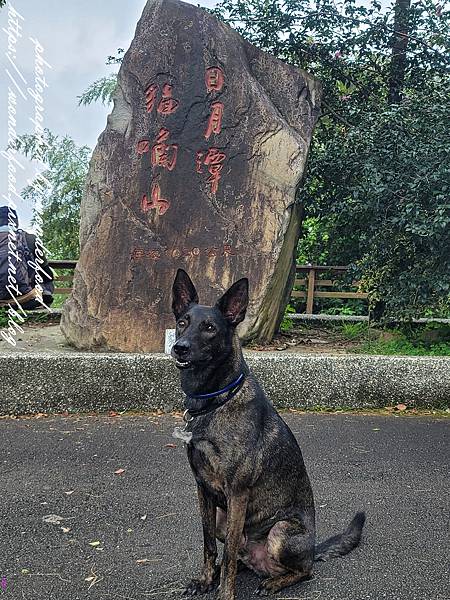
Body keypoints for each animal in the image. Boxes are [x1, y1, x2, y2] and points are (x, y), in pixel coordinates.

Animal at [171, 270, 364, 596]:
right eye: (183, 322)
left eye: (209, 327)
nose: (179, 347)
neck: (216, 400)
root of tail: (313, 549)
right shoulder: (204, 490)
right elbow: (209, 544)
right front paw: (207, 580)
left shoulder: (237, 493)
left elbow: (227, 552)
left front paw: (224, 593)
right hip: (225, 519)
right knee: (237, 554)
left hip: (281, 532)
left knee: (303, 571)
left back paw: (275, 581)